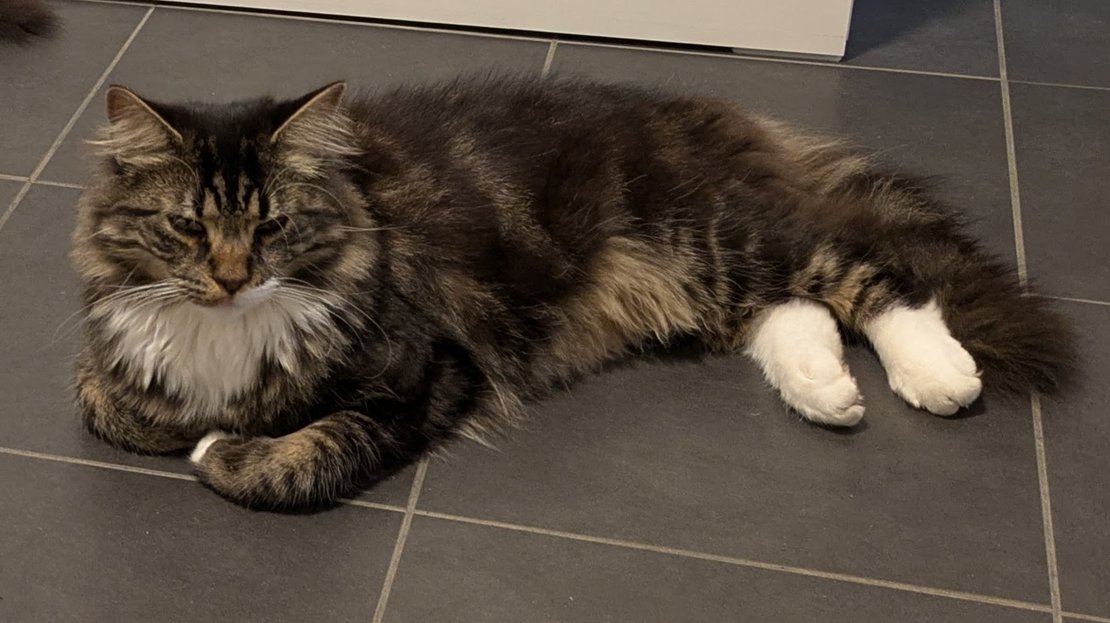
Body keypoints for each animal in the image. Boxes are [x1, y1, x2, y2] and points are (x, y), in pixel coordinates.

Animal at [71, 77, 1076, 511]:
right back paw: (828, 394)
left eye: (273, 226)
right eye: (188, 229)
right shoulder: (113, 357)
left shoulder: (426, 372)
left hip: (717, 235)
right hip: (702, 274)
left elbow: (296, 460)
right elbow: (105, 404)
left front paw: (220, 449)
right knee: (792, 310)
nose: (233, 278)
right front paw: (175, 419)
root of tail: (697, 110)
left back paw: (938, 376)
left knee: (876, 271)